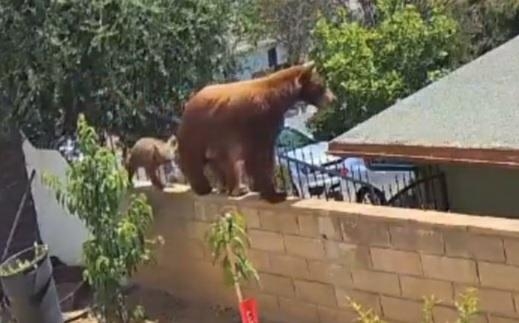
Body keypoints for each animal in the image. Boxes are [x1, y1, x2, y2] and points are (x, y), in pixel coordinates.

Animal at [177, 62, 336, 204]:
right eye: (322, 85)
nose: (333, 99)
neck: (278, 97)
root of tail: (188, 103)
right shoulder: (257, 120)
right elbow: (258, 156)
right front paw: (273, 194)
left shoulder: (270, 125)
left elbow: (268, 155)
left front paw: (273, 191)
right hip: (199, 133)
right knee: (194, 159)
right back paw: (203, 187)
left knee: (224, 162)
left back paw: (234, 188)